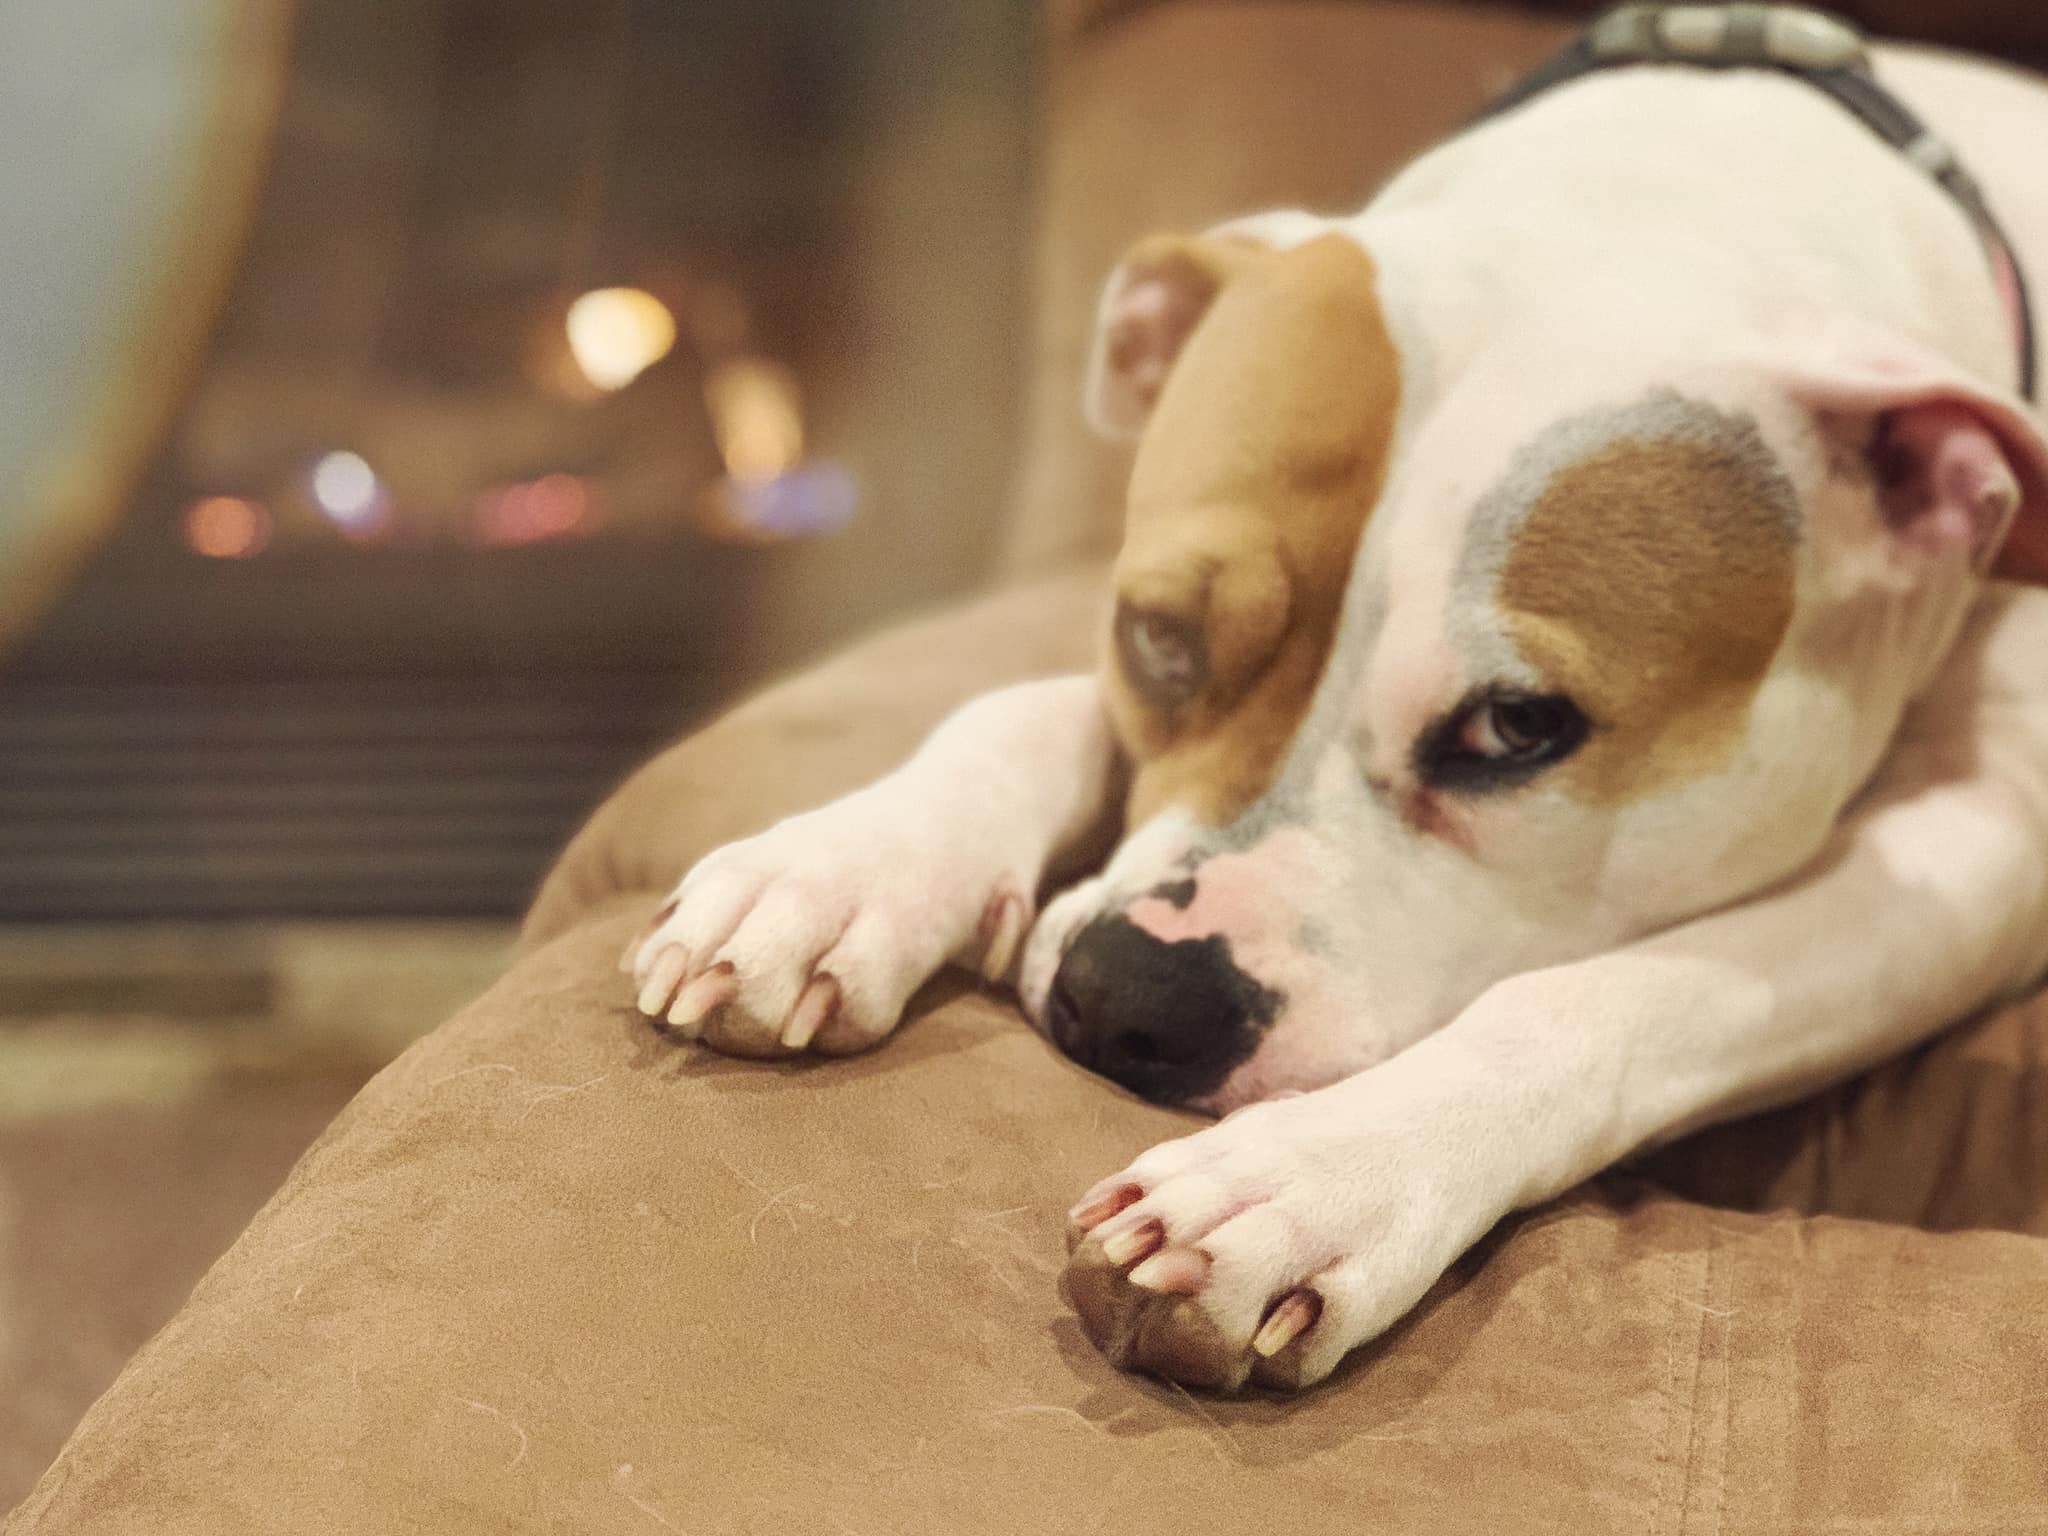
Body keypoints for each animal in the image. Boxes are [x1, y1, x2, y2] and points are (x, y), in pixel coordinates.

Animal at [618, 3, 2048, 1392]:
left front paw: (1310, 1179)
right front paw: (840, 867)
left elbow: (1611, 996)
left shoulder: (1975, 862)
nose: (1134, 1000)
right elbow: (1019, 708)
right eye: (1155, 634)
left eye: (1516, 728)